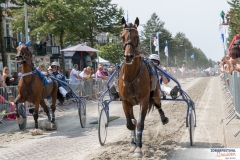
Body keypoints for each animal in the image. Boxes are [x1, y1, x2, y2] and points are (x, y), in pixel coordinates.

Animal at [118, 16, 169, 157]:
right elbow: (130, 124)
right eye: (122, 36)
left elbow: (140, 123)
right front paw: (133, 144)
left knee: (158, 105)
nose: (128, 56)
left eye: (137, 36)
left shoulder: (144, 101)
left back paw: (164, 118)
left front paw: (139, 148)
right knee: (133, 121)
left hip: (156, 94)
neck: (131, 77)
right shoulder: (125, 102)